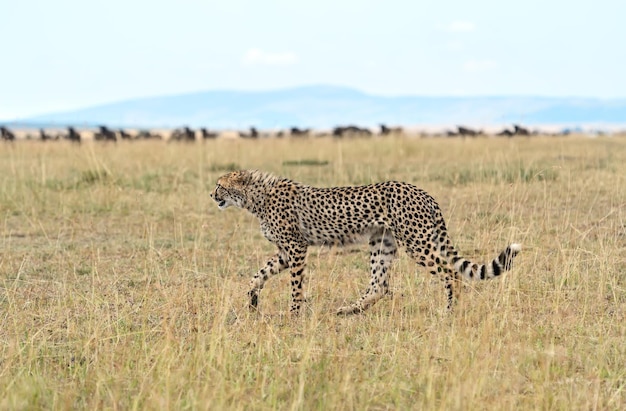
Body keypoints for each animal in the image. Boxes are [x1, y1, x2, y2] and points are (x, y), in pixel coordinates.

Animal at [210, 170, 516, 316]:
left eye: (220, 185)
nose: (212, 195)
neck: (256, 198)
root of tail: (422, 191)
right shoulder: (285, 252)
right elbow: (258, 274)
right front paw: (252, 300)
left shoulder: (296, 248)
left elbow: (295, 286)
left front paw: (294, 313)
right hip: (382, 242)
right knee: (380, 284)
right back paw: (349, 310)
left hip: (416, 241)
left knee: (450, 272)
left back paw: (450, 310)